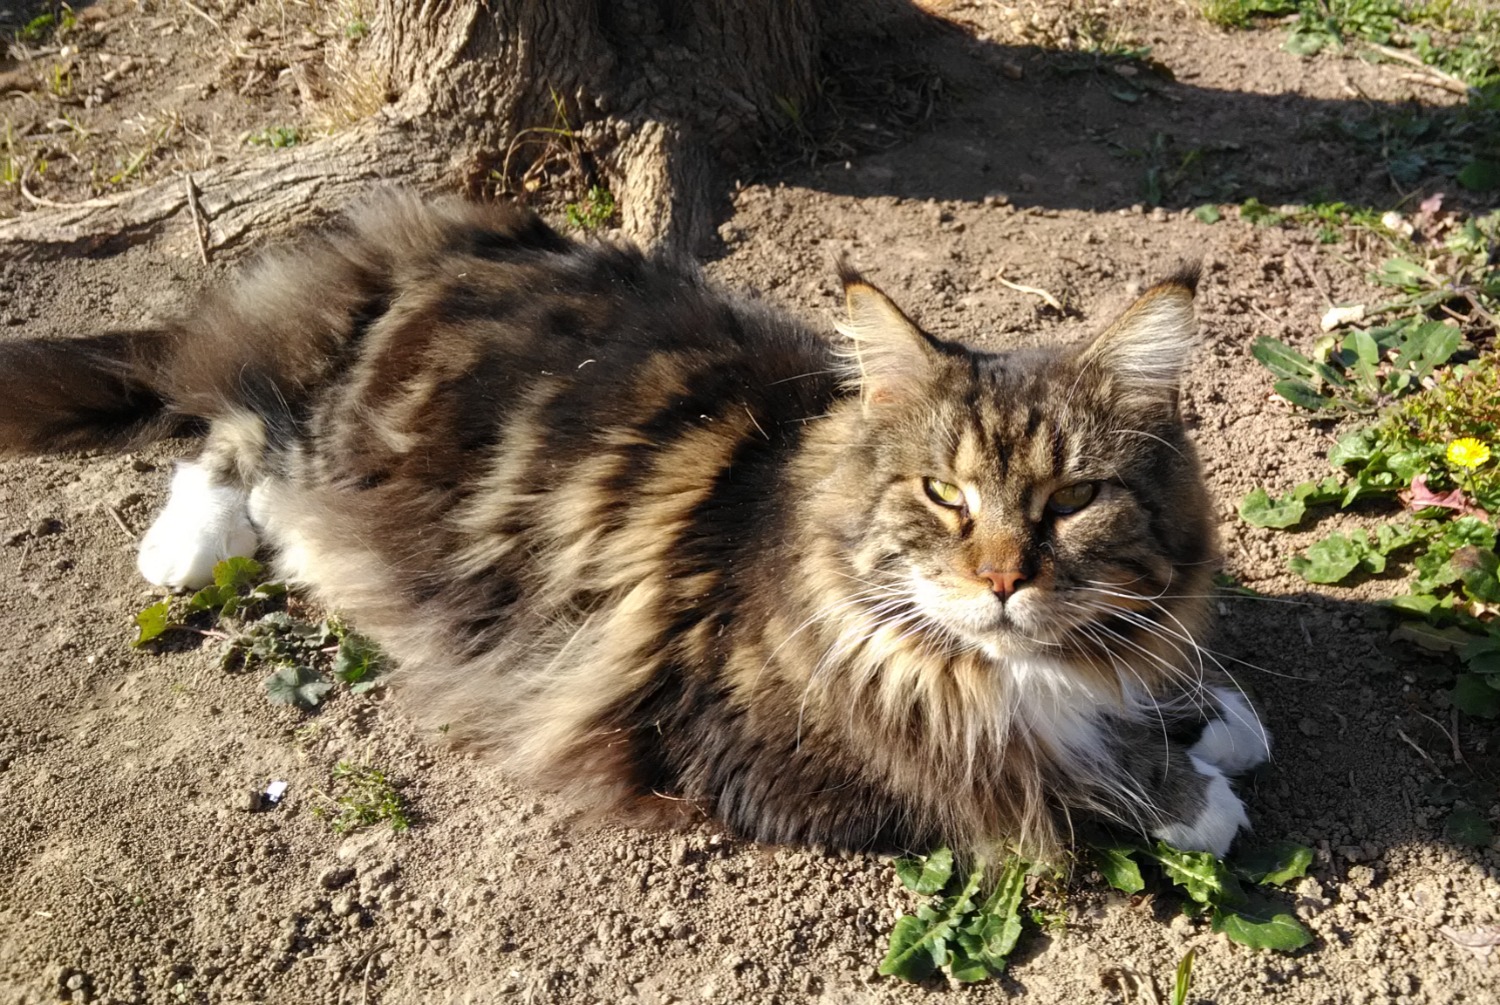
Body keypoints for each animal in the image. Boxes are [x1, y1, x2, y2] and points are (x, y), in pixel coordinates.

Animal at [0, 193, 1266, 864]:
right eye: (944, 496)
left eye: (1070, 501)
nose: (1002, 579)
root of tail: (456, 236)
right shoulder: (763, 757)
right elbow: (1039, 778)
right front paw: (1193, 792)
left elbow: (1135, 688)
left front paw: (1211, 713)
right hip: (322, 436)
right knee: (230, 423)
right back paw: (191, 546)